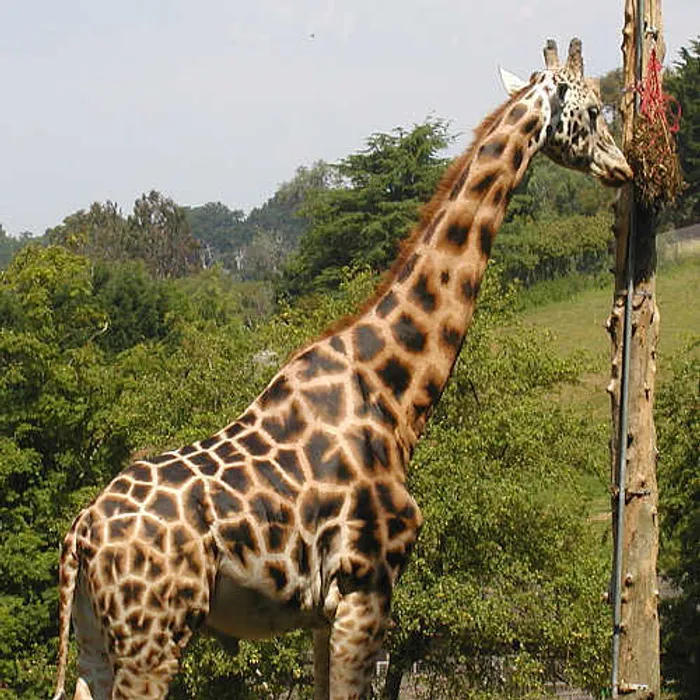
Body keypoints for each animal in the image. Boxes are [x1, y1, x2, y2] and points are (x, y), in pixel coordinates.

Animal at [53, 38, 632, 700]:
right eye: (595, 110)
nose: (625, 167)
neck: (394, 393)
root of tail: (81, 534)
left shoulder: (321, 611)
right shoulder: (366, 583)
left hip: (98, 639)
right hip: (153, 635)